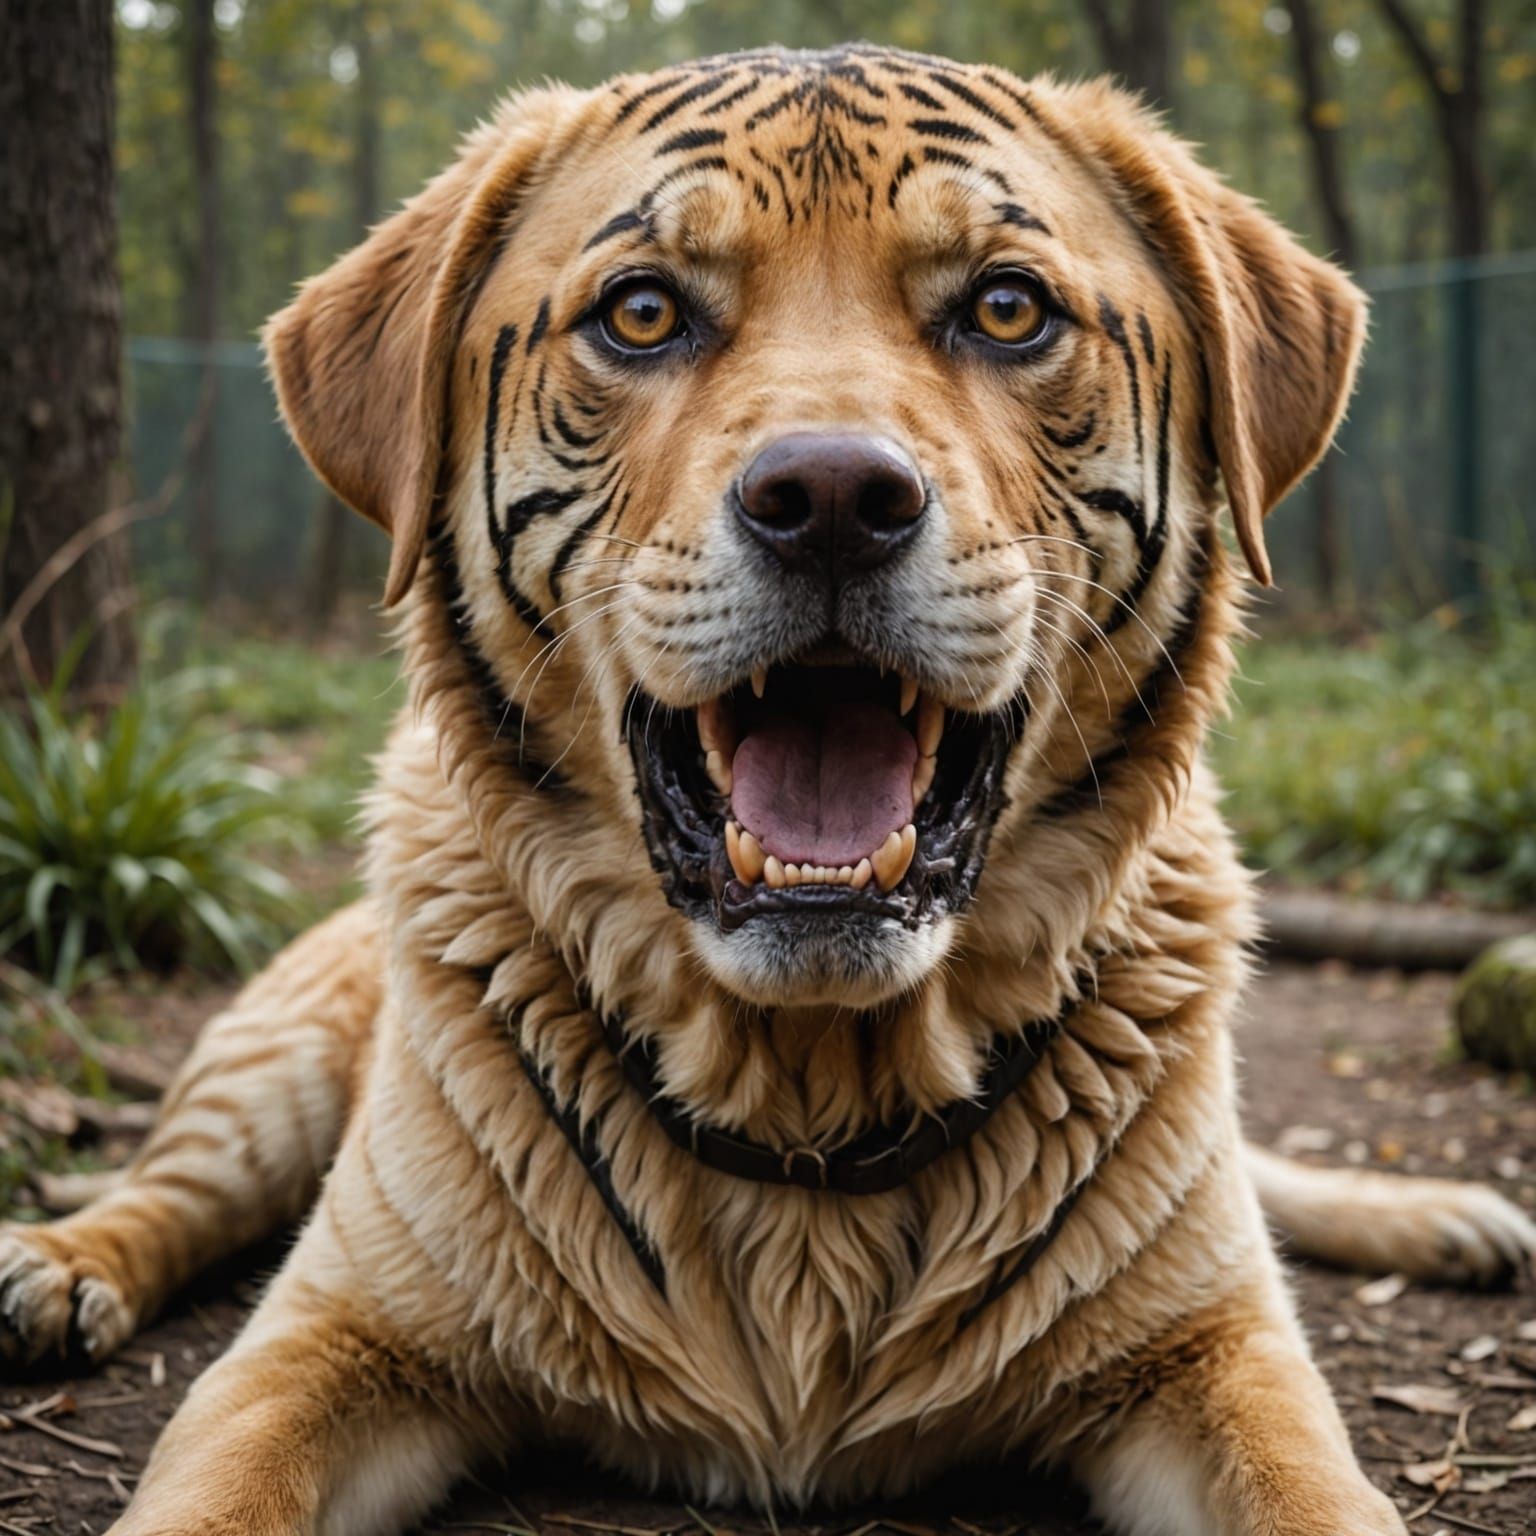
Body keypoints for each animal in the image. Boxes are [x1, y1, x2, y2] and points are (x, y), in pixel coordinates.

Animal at [3, 44, 1532, 1536]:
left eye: (1007, 307)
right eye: (640, 313)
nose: (836, 497)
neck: (813, 1085)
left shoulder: (1218, 1352)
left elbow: (1308, 1480)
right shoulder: (327, 1337)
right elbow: (215, 1488)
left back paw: (1446, 1219)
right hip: (267, 1076)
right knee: (168, 1188)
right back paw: (58, 1269)